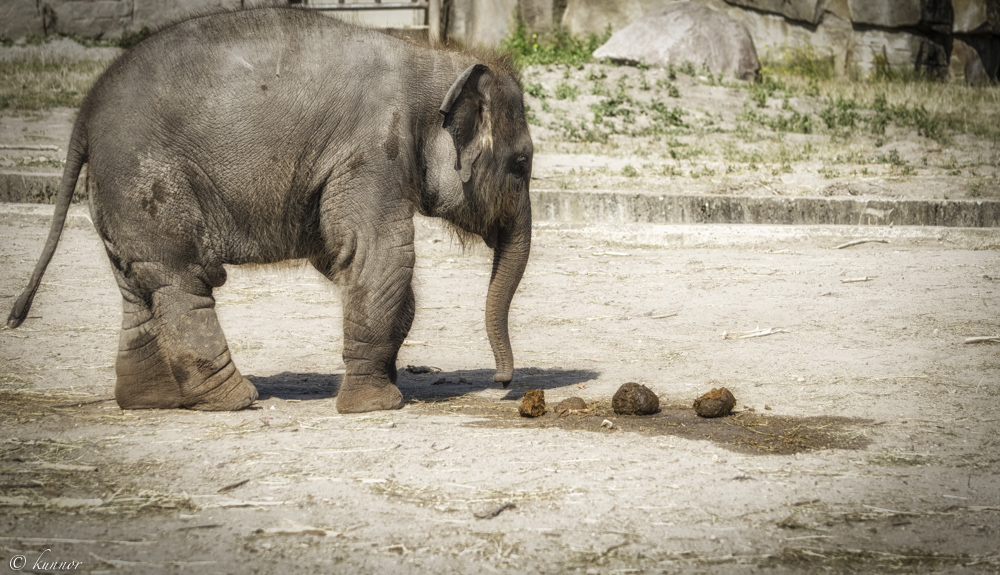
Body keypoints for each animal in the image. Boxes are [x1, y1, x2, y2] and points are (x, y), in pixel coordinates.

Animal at [5, 7, 532, 414]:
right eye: (522, 162)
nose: (502, 383)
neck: (435, 61)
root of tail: (84, 115)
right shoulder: (373, 151)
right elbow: (379, 256)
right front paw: (378, 405)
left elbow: (341, 256)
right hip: (147, 180)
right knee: (184, 281)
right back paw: (234, 399)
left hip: (116, 197)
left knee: (138, 287)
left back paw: (151, 401)